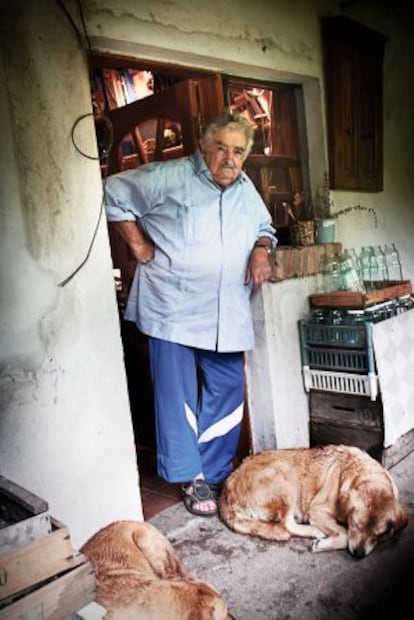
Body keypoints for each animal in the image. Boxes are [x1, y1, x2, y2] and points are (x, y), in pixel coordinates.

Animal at [220, 444, 408, 560]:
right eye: (356, 525)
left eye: (379, 534)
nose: (358, 554)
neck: (361, 473)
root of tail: (227, 488)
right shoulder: (318, 510)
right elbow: (344, 534)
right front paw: (327, 542)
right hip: (285, 477)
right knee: (287, 525)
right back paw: (316, 531)